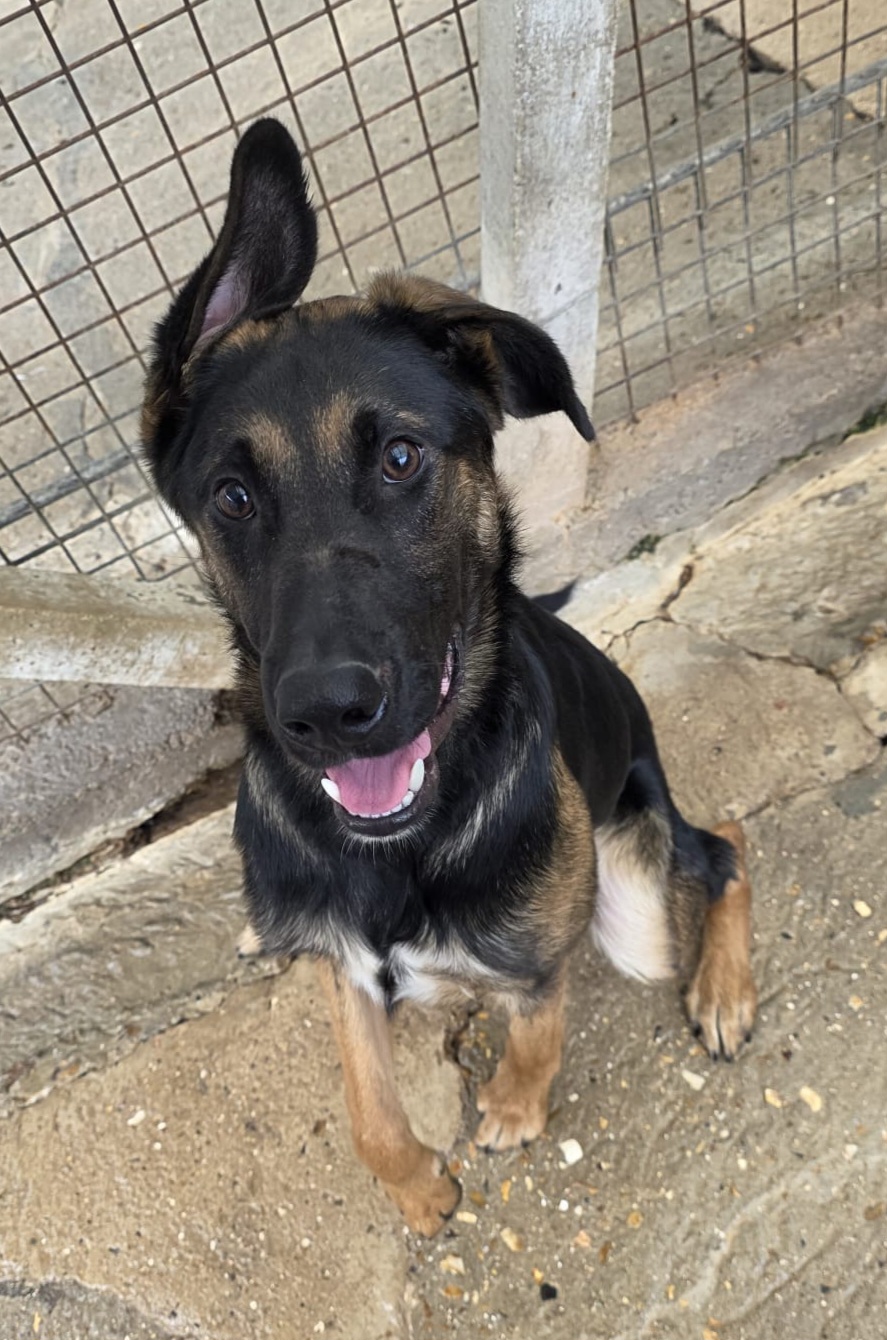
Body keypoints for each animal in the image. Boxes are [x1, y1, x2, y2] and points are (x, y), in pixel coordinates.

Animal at [142, 118, 757, 1237]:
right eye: (231, 495)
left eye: (399, 456)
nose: (329, 713)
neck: (396, 850)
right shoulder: (342, 971)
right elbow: (369, 1114)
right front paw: (421, 1188)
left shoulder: (543, 955)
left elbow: (538, 1031)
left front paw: (511, 1107)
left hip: (637, 840)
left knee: (726, 844)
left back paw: (721, 992)